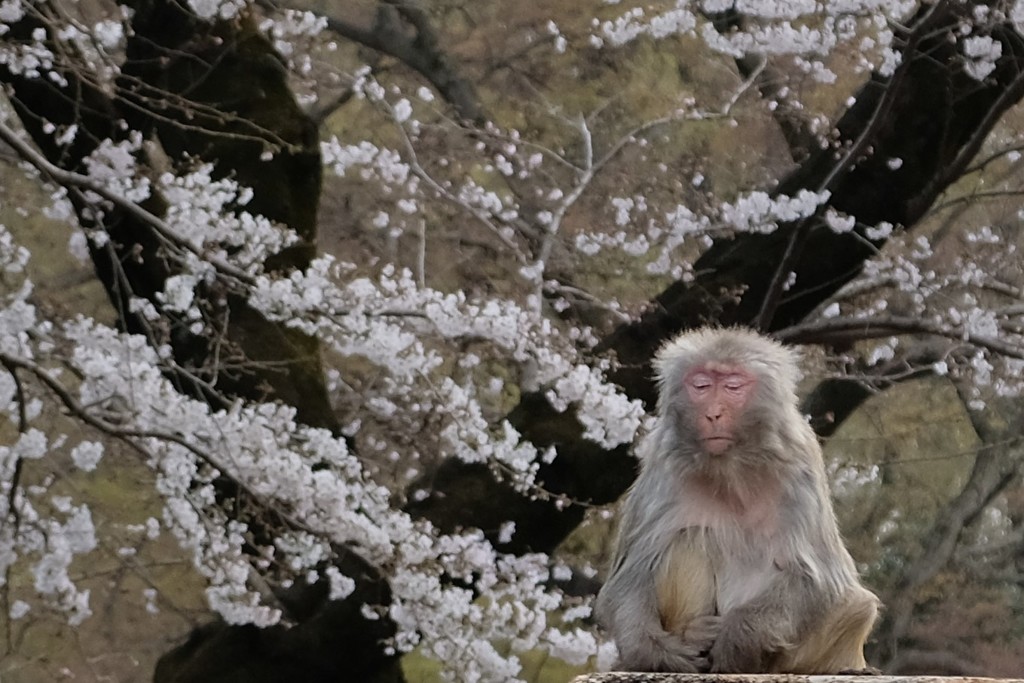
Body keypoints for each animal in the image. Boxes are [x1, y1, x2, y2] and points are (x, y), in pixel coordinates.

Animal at [598, 325, 876, 671]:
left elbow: (821, 579)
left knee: (859, 606)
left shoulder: (800, 468)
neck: (731, 468)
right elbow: (630, 575)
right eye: (701, 385)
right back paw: (692, 636)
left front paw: (737, 637)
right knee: (687, 539)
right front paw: (653, 653)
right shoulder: (664, 464)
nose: (713, 413)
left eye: (733, 386)